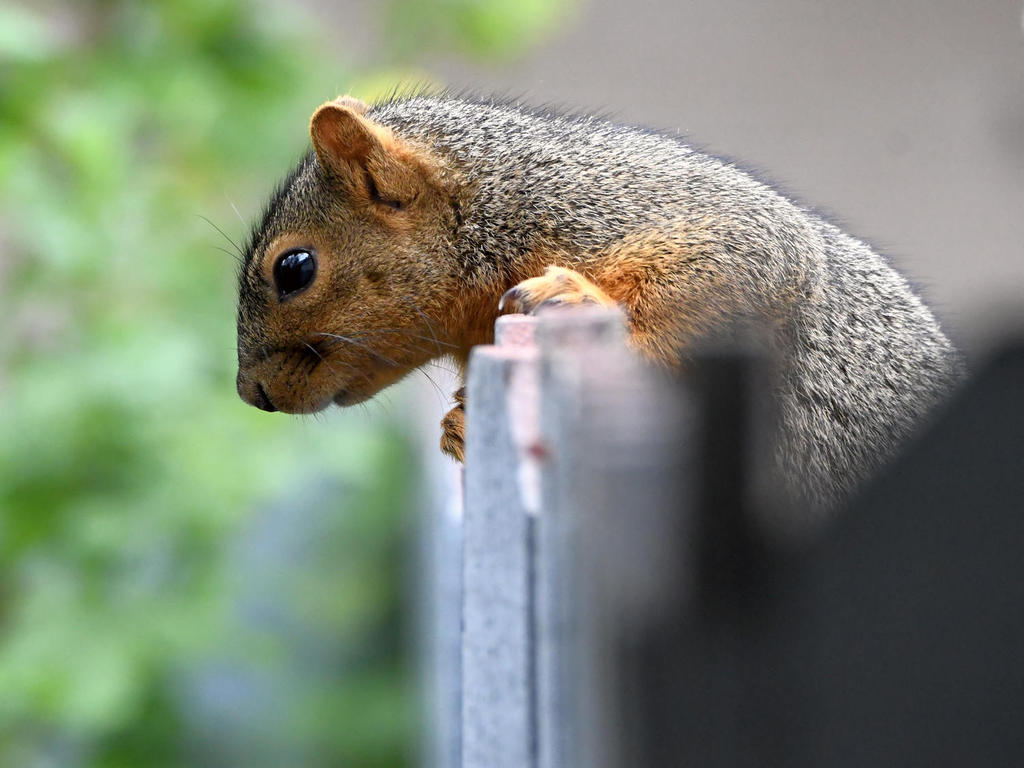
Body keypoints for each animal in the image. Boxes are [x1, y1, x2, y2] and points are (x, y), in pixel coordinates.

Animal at [235, 91, 963, 510]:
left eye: (294, 268)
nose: (251, 394)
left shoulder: (654, 215)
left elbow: (745, 266)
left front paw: (576, 300)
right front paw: (459, 426)